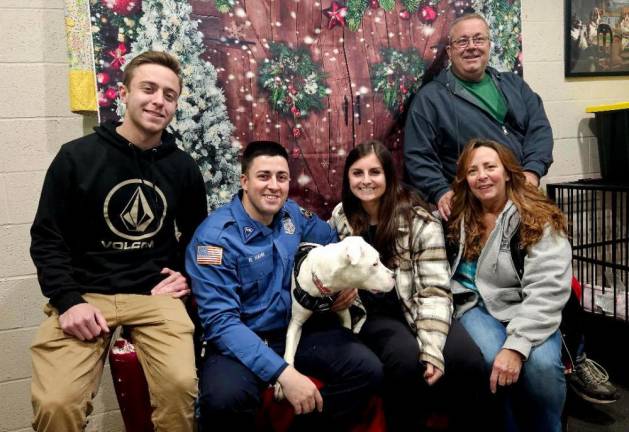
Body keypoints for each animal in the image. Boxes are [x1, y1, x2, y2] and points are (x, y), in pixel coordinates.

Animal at [274, 238, 392, 400]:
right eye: (375, 264)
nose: (394, 275)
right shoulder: (296, 323)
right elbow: (289, 350)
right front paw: (282, 384)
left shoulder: (344, 312)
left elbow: (347, 327)